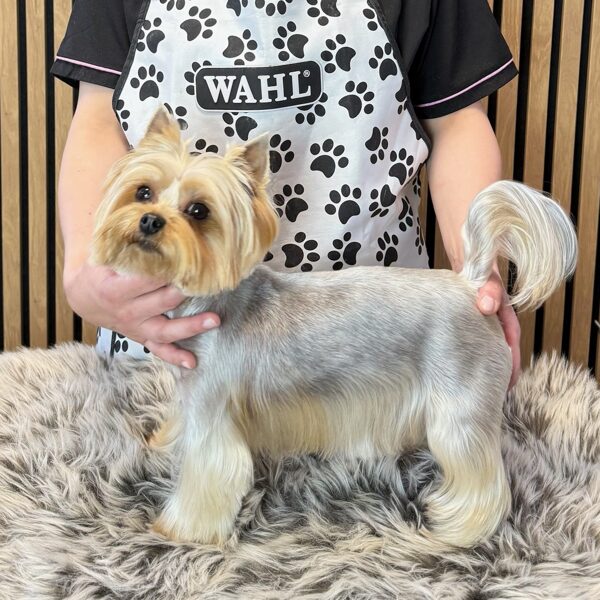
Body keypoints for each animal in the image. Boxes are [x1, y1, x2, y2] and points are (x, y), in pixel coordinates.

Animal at [92, 110, 578, 549]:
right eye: (143, 192)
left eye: (198, 210)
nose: (150, 220)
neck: (211, 300)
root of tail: (473, 284)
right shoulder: (192, 392)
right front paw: (164, 439)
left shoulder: (213, 410)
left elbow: (209, 472)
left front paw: (180, 529)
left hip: (460, 407)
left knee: (481, 476)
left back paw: (458, 528)